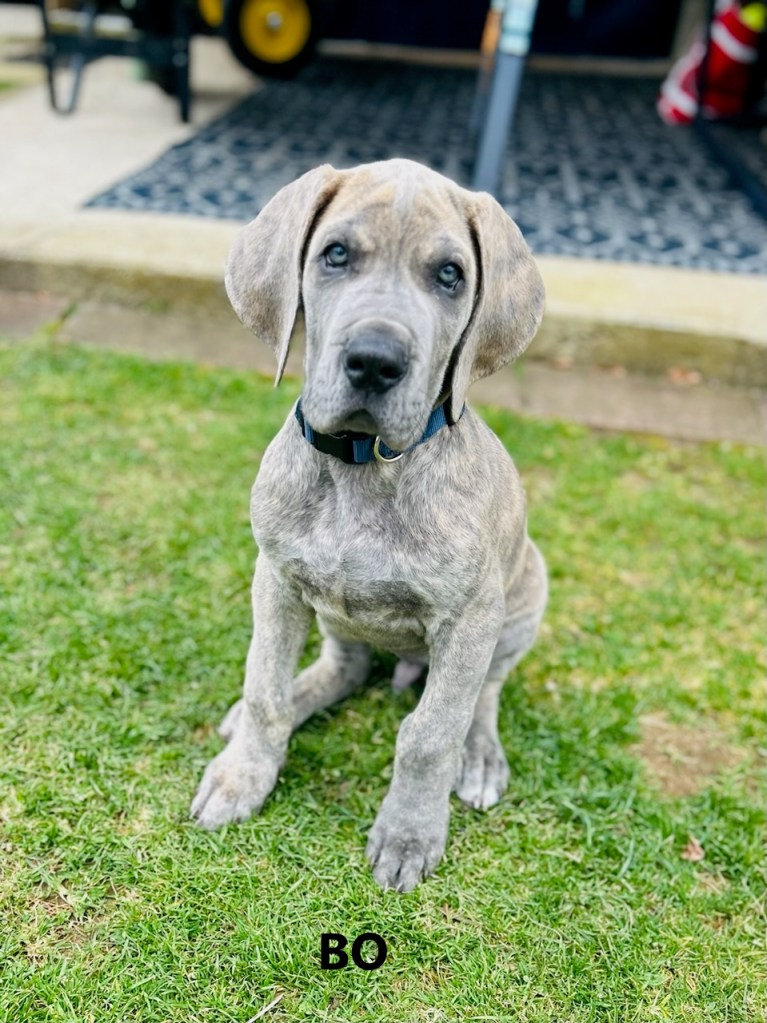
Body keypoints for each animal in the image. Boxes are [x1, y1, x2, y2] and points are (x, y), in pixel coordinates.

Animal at [190, 159, 547, 892]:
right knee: (340, 669)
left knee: (484, 695)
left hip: (524, 599)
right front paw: (244, 774)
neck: (362, 466)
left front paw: (409, 832)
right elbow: (263, 689)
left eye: (449, 274)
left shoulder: (470, 619)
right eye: (335, 254)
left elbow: (430, 733)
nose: (375, 360)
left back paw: (479, 757)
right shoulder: (275, 580)